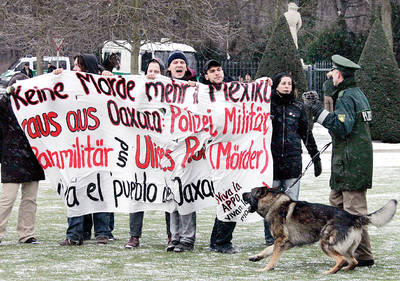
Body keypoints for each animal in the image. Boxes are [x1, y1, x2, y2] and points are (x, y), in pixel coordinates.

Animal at [241, 187, 396, 272]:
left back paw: (329, 272)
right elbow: (268, 250)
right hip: (344, 248)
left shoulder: (280, 240)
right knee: (353, 262)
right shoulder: (286, 243)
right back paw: (345, 269)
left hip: (325, 243)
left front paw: (265, 269)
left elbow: (272, 257)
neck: (274, 203)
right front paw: (256, 257)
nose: (242, 193)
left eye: (250, 192)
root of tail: (353, 216)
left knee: (341, 260)